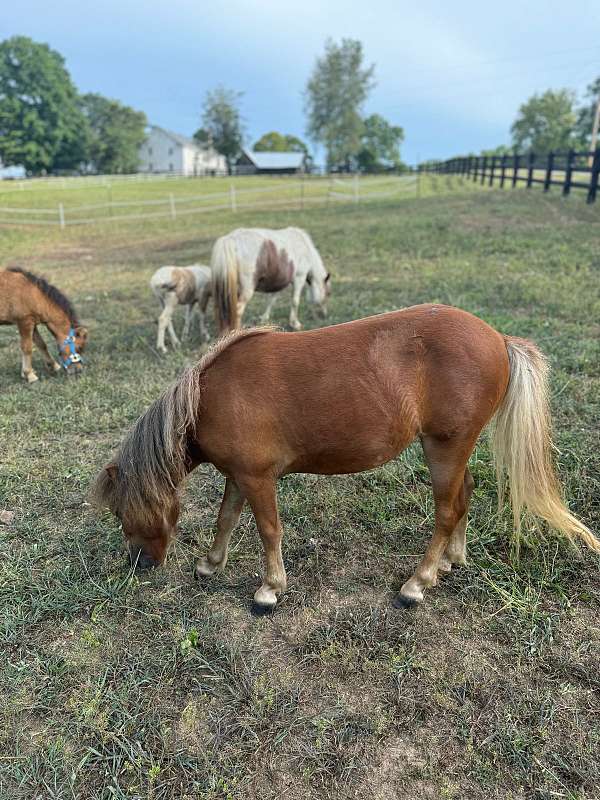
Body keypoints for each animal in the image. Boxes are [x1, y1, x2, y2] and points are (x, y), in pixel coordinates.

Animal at [91, 306, 596, 612]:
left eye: (121, 511)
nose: (141, 564)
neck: (209, 397)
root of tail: (497, 338)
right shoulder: (239, 476)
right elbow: (226, 519)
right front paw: (210, 564)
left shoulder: (258, 479)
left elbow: (268, 529)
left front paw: (270, 589)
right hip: (455, 447)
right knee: (465, 496)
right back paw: (453, 560)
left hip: (445, 447)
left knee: (447, 510)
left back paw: (419, 581)